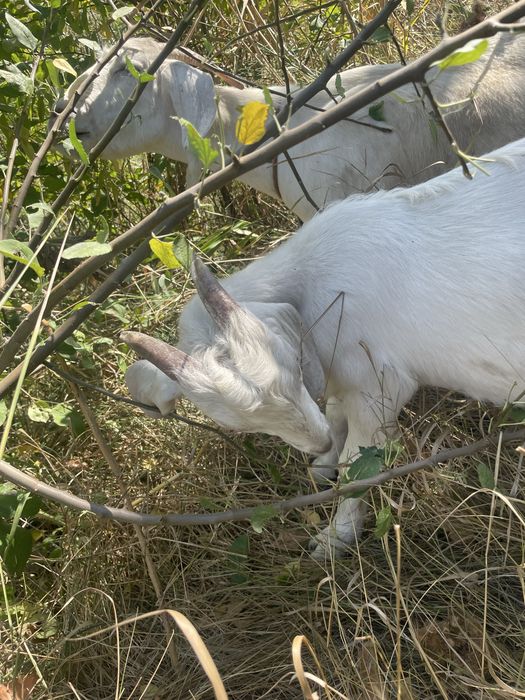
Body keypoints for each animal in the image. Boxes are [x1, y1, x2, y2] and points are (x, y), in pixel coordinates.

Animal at [122, 137, 525, 558]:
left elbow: (357, 468)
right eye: (239, 423)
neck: (314, 282)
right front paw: (323, 463)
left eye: (292, 366)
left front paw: (335, 538)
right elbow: (334, 413)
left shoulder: (378, 388)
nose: (318, 442)